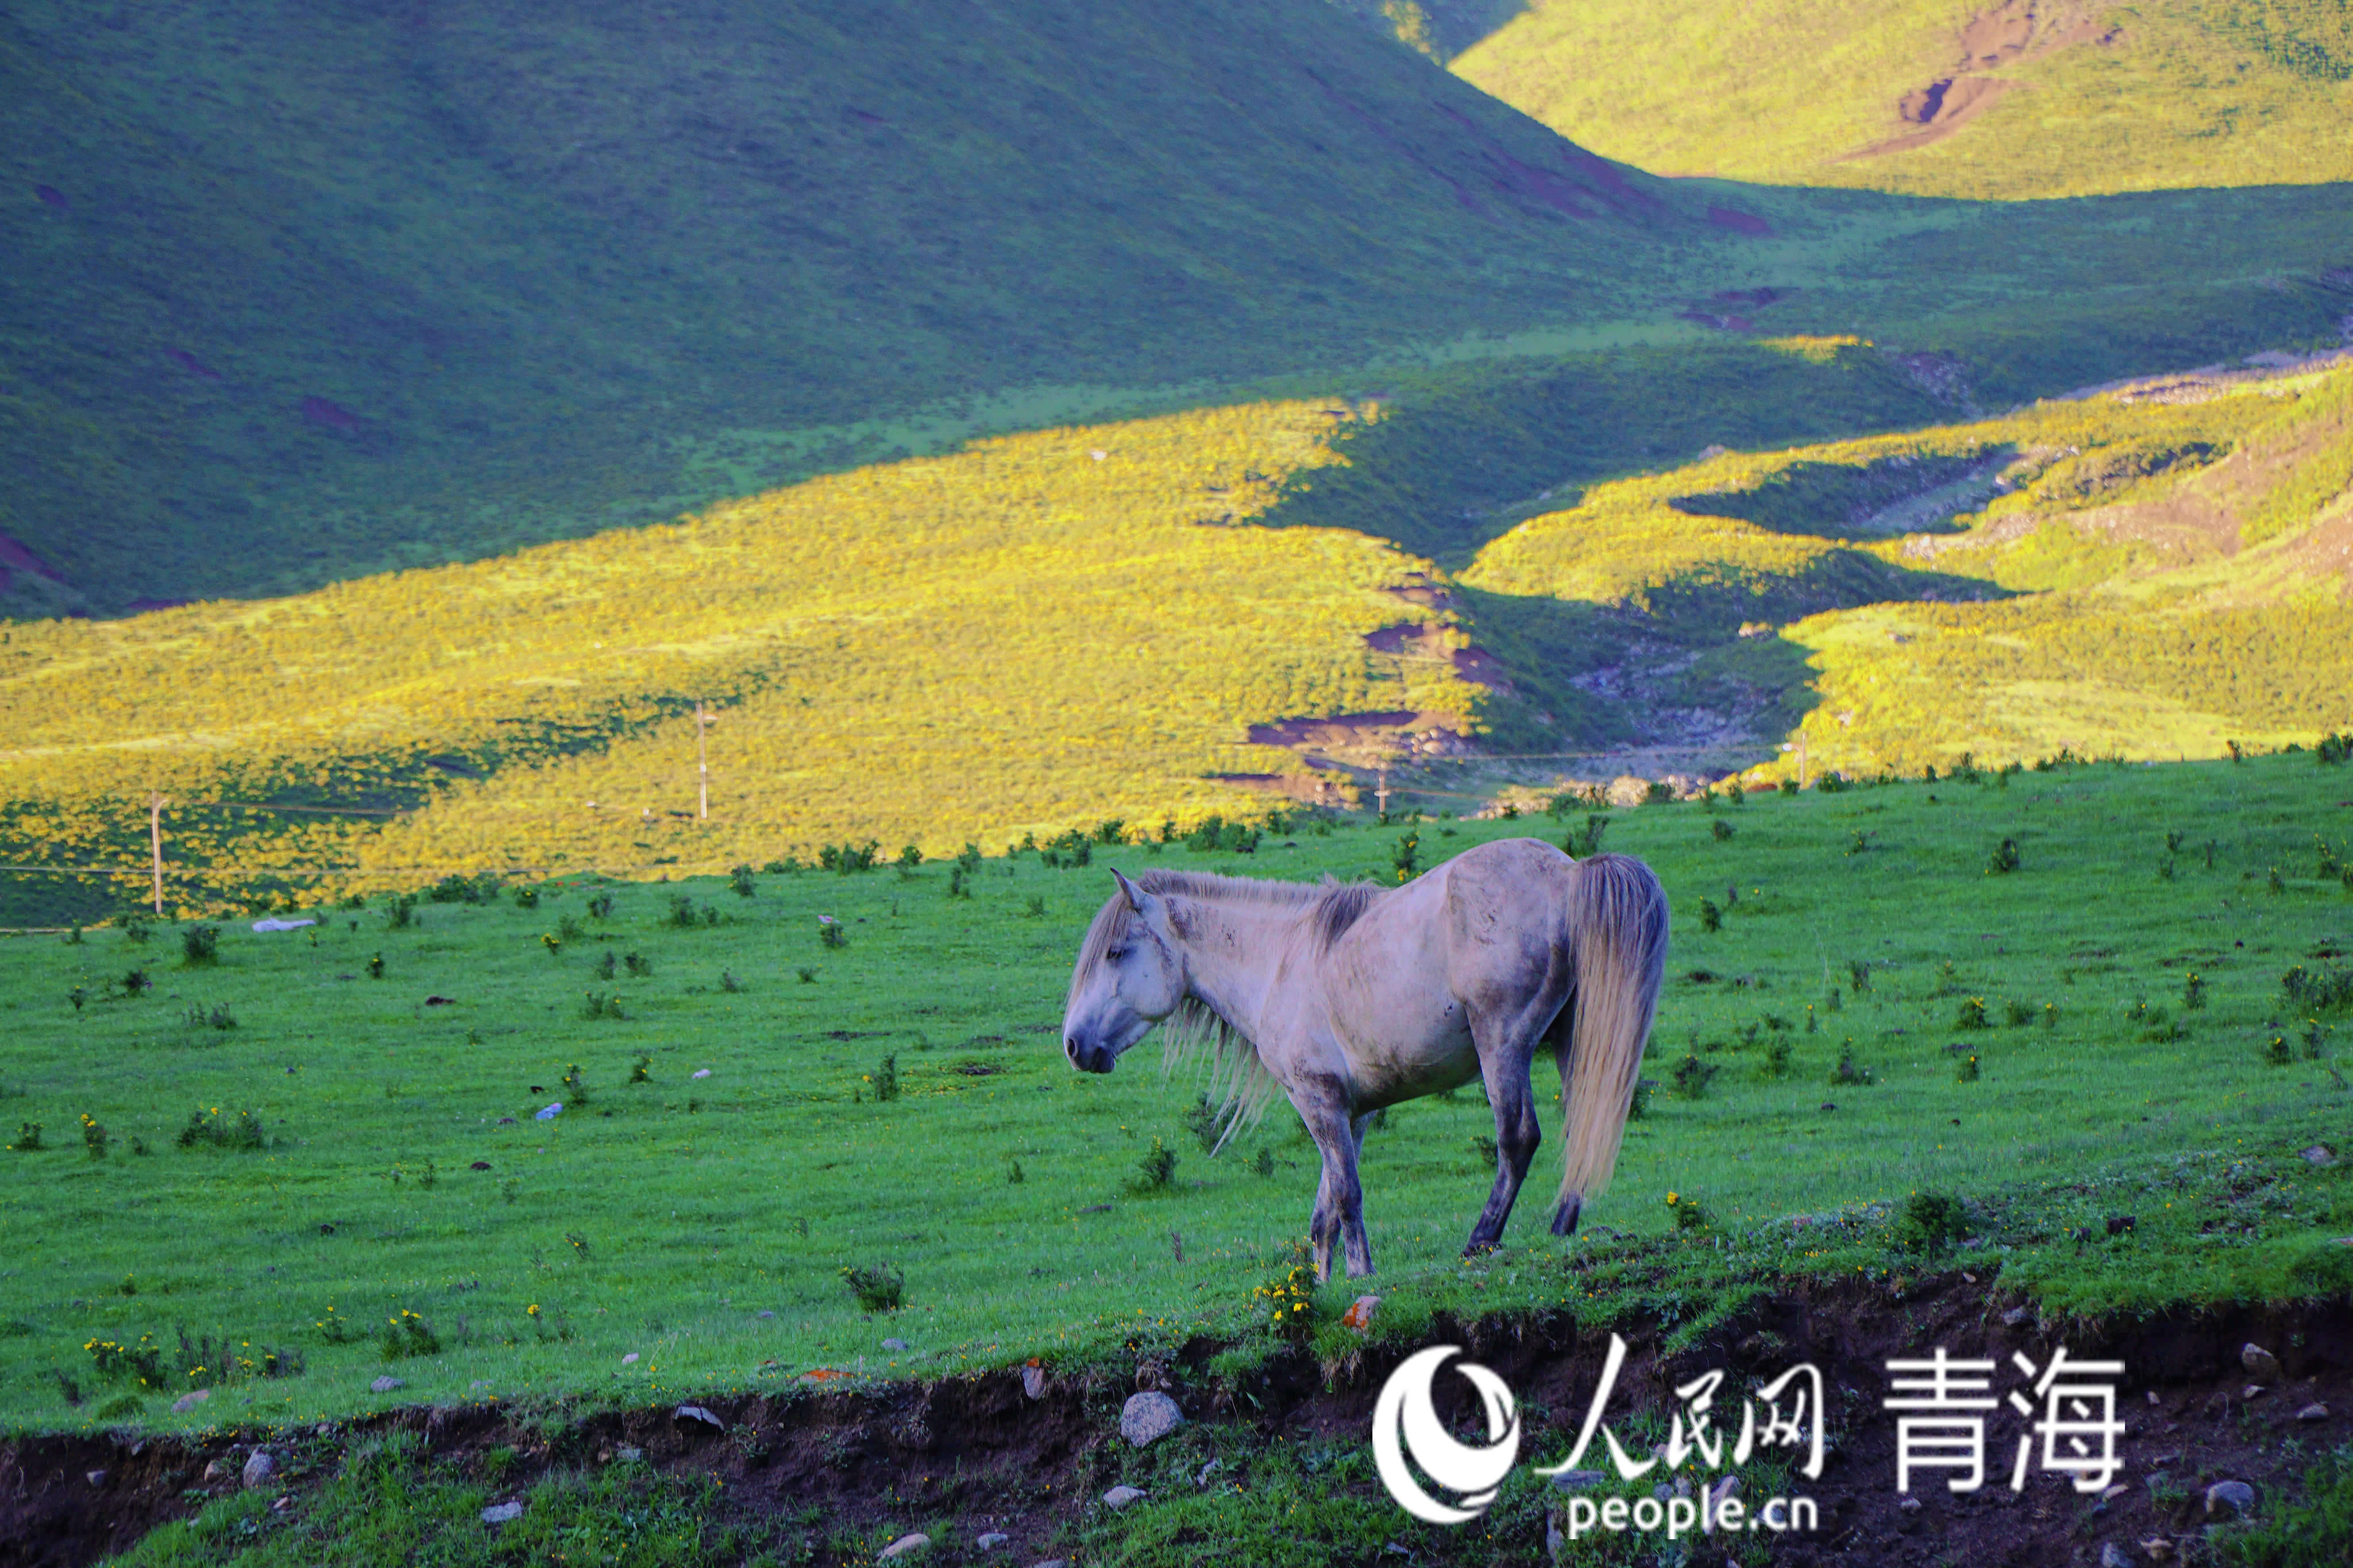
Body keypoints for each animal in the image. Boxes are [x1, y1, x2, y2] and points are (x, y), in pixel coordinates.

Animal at [1059, 841, 1665, 1279]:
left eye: (1116, 952)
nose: (1074, 1045)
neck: (1276, 965)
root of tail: (1570, 874)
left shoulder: (1318, 1100)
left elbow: (1346, 1196)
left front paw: (1362, 1275)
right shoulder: (1355, 1111)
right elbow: (1325, 1209)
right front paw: (1324, 1284)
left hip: (1504, 1043)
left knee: (1519, 1138)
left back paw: (1481, 1242)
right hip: (1571, 1039)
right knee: (1580, 1126)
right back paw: (1561, 1229)